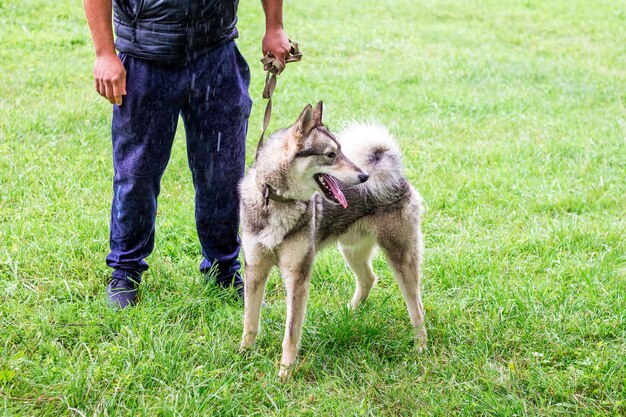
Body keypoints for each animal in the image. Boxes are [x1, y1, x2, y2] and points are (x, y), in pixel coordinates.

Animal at [238, 101, 424, 380]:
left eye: (342, 151)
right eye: (330, 155)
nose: (364, 176)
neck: (279, 201)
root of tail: (396, 173)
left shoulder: (297, 275)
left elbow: (291, 333)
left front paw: (285, 373)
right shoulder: (255, 269)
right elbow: (250, 320)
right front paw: (243, 355)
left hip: (400, 257)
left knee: (416, 306)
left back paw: (421, 345)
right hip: (351, 250)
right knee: (369, 279)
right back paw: (350, 311)